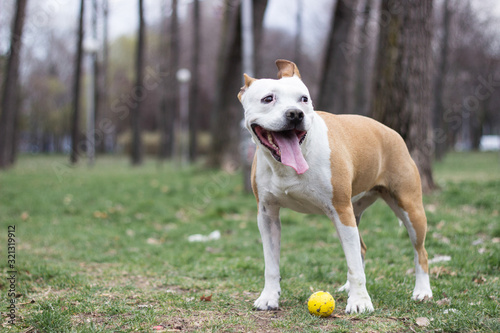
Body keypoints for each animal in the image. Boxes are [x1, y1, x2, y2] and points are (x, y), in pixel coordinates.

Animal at [238, 59, 434, 312]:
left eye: (304, 99)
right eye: (268, 99)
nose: (295, 114)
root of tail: (391, 131)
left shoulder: (340, 209)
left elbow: (354, 266)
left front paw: (360, 302)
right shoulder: (267, 215)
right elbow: (271, 264)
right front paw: (269, 297)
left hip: (408, 208)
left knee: (421, 252)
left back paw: (422, 291)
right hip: (351, 214)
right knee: (359, 249)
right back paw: (348, 287)